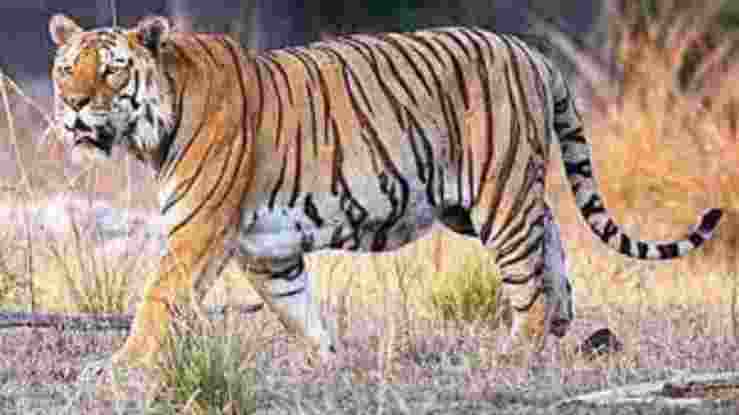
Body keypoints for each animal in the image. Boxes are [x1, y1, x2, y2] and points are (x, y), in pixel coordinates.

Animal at [48, 14, 722, 367]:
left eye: (110, 69)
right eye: (64, 68)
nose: (73, 104)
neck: (152, 130)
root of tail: (531, 52)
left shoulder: (198, 233)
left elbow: (155, 303)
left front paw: (117, 372)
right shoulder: (267, 249)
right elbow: (297, 311)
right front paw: (327, 365)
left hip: (498, 193)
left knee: (528, 276)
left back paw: (514, 353)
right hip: (477, 202)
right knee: (551, 238)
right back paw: (561, 321)